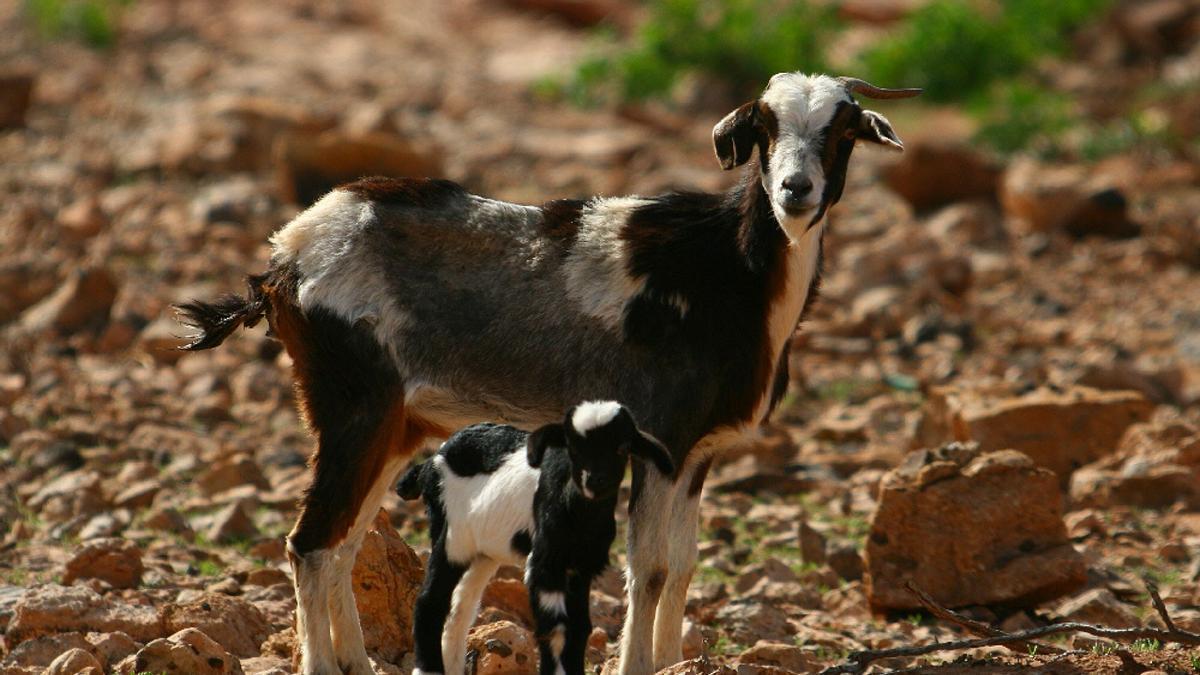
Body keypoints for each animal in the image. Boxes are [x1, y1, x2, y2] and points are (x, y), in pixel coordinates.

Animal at [398, 401, 672, 672]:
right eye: (573, 448)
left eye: (623, 448)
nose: (595, 480)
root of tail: (431, 461)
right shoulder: (545, 563)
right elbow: (556, 627)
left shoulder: (581, 566)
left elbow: (580, 627)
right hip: (453, 536)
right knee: (429, 602)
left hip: (484, 552)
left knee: (461, 607)